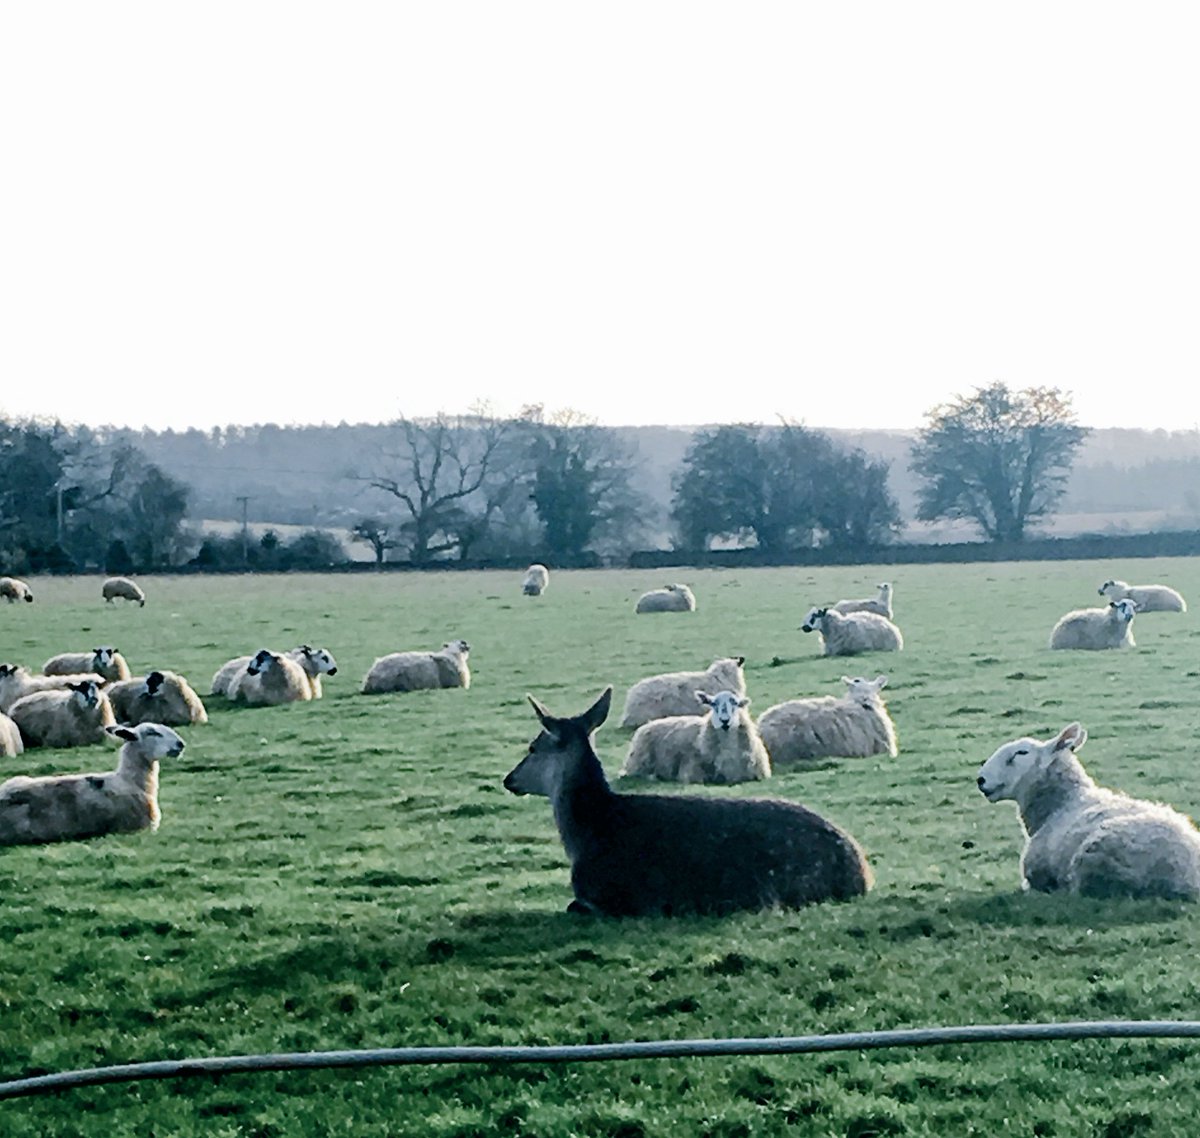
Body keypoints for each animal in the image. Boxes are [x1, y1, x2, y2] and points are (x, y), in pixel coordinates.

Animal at [621, 690, 771, 785]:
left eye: (735, 703)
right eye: (713, 703)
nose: (724, 720)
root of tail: (649, 723)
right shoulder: (691, 772)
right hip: (639, 763)